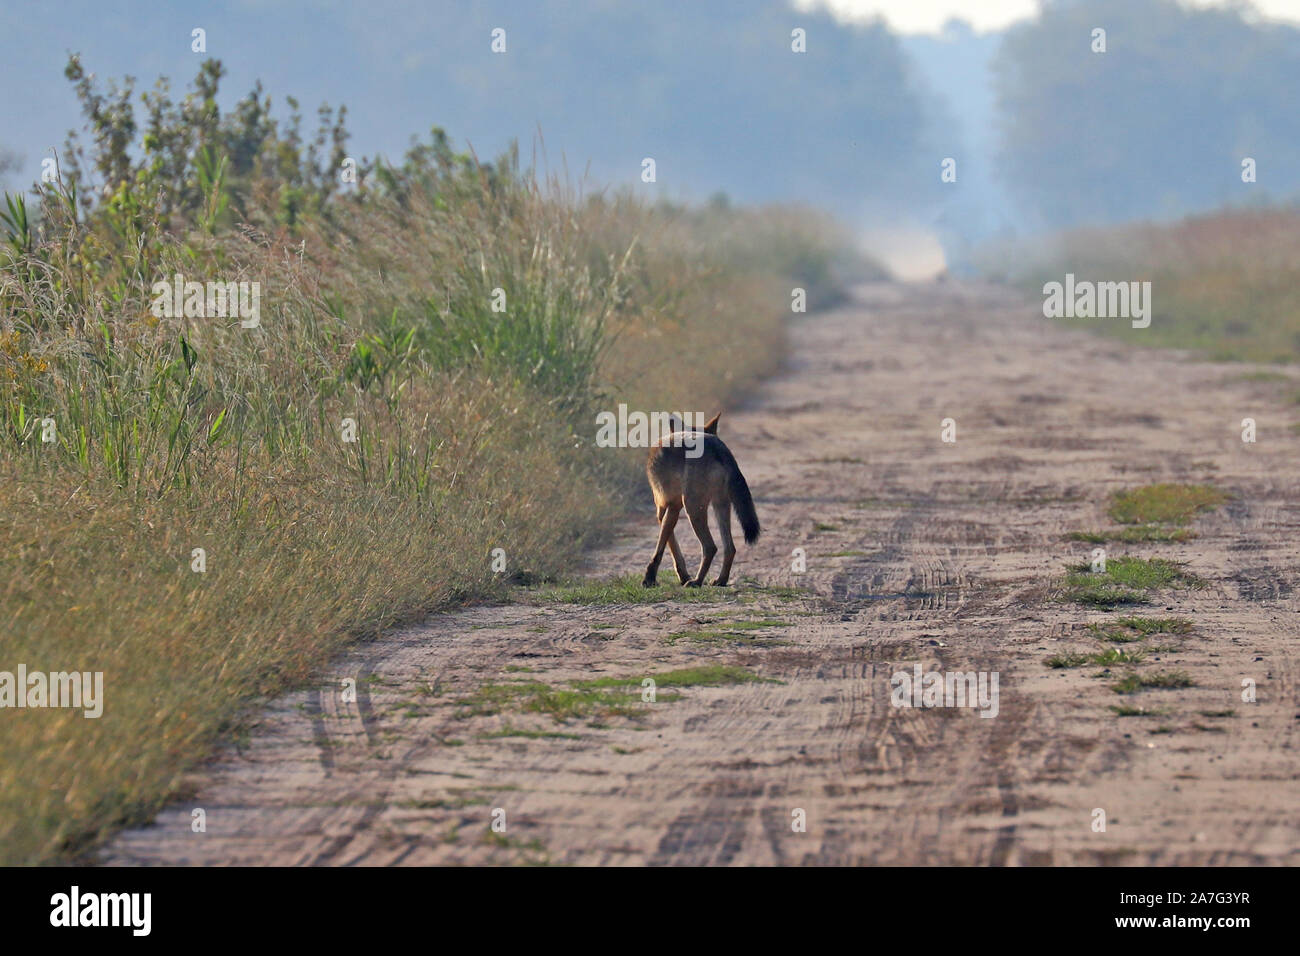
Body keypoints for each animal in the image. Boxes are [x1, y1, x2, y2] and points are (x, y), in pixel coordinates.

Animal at [642, 412, 760, 588]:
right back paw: (720, 580)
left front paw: (650, 578)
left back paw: (696, 581)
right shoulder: (673, 508)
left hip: (692, 509)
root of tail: (717, 446)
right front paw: (683, 576)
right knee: (730, 548)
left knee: (711, 547)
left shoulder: (664, 510)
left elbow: (665, 548)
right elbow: (673, 548)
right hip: (720, 506)